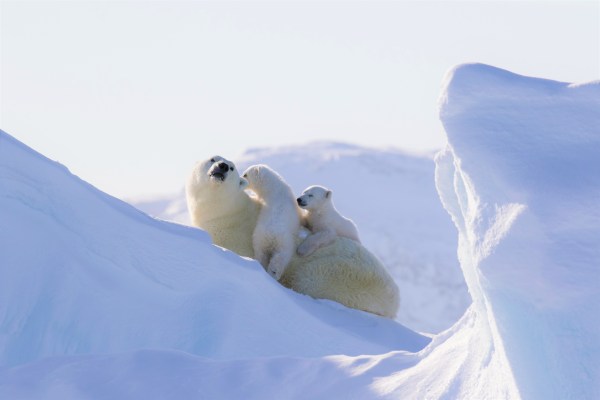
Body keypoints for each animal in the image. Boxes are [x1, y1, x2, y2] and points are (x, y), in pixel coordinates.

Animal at [185, 156, 400, 318]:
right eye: (213, 158)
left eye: (232, 167)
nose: (221, 166)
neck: (227, 213)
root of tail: (395, 300)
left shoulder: (236, 238)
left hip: (337, 275)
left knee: (307, 278)